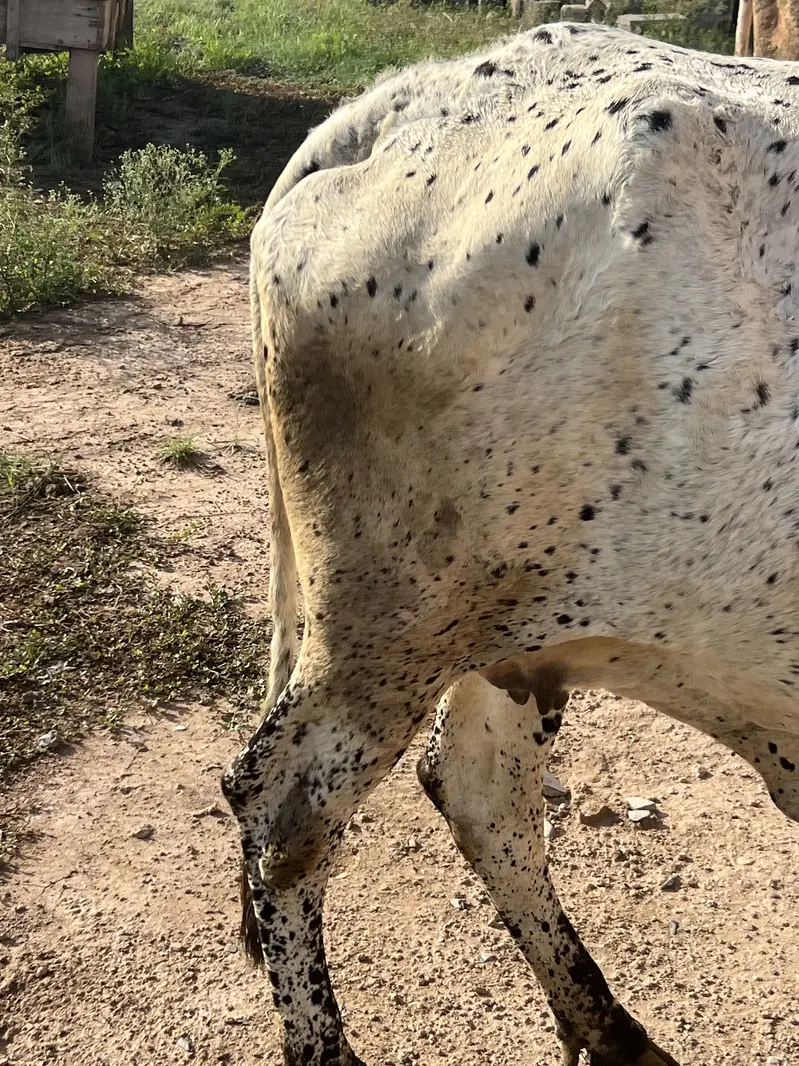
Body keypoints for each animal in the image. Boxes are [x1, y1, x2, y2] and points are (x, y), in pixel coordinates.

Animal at [221, 21, 799, 1066]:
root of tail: (400, 102)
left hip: (513, 624)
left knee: (476, 787)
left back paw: (608, 1027)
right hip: (389, 623)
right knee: (283, 814)